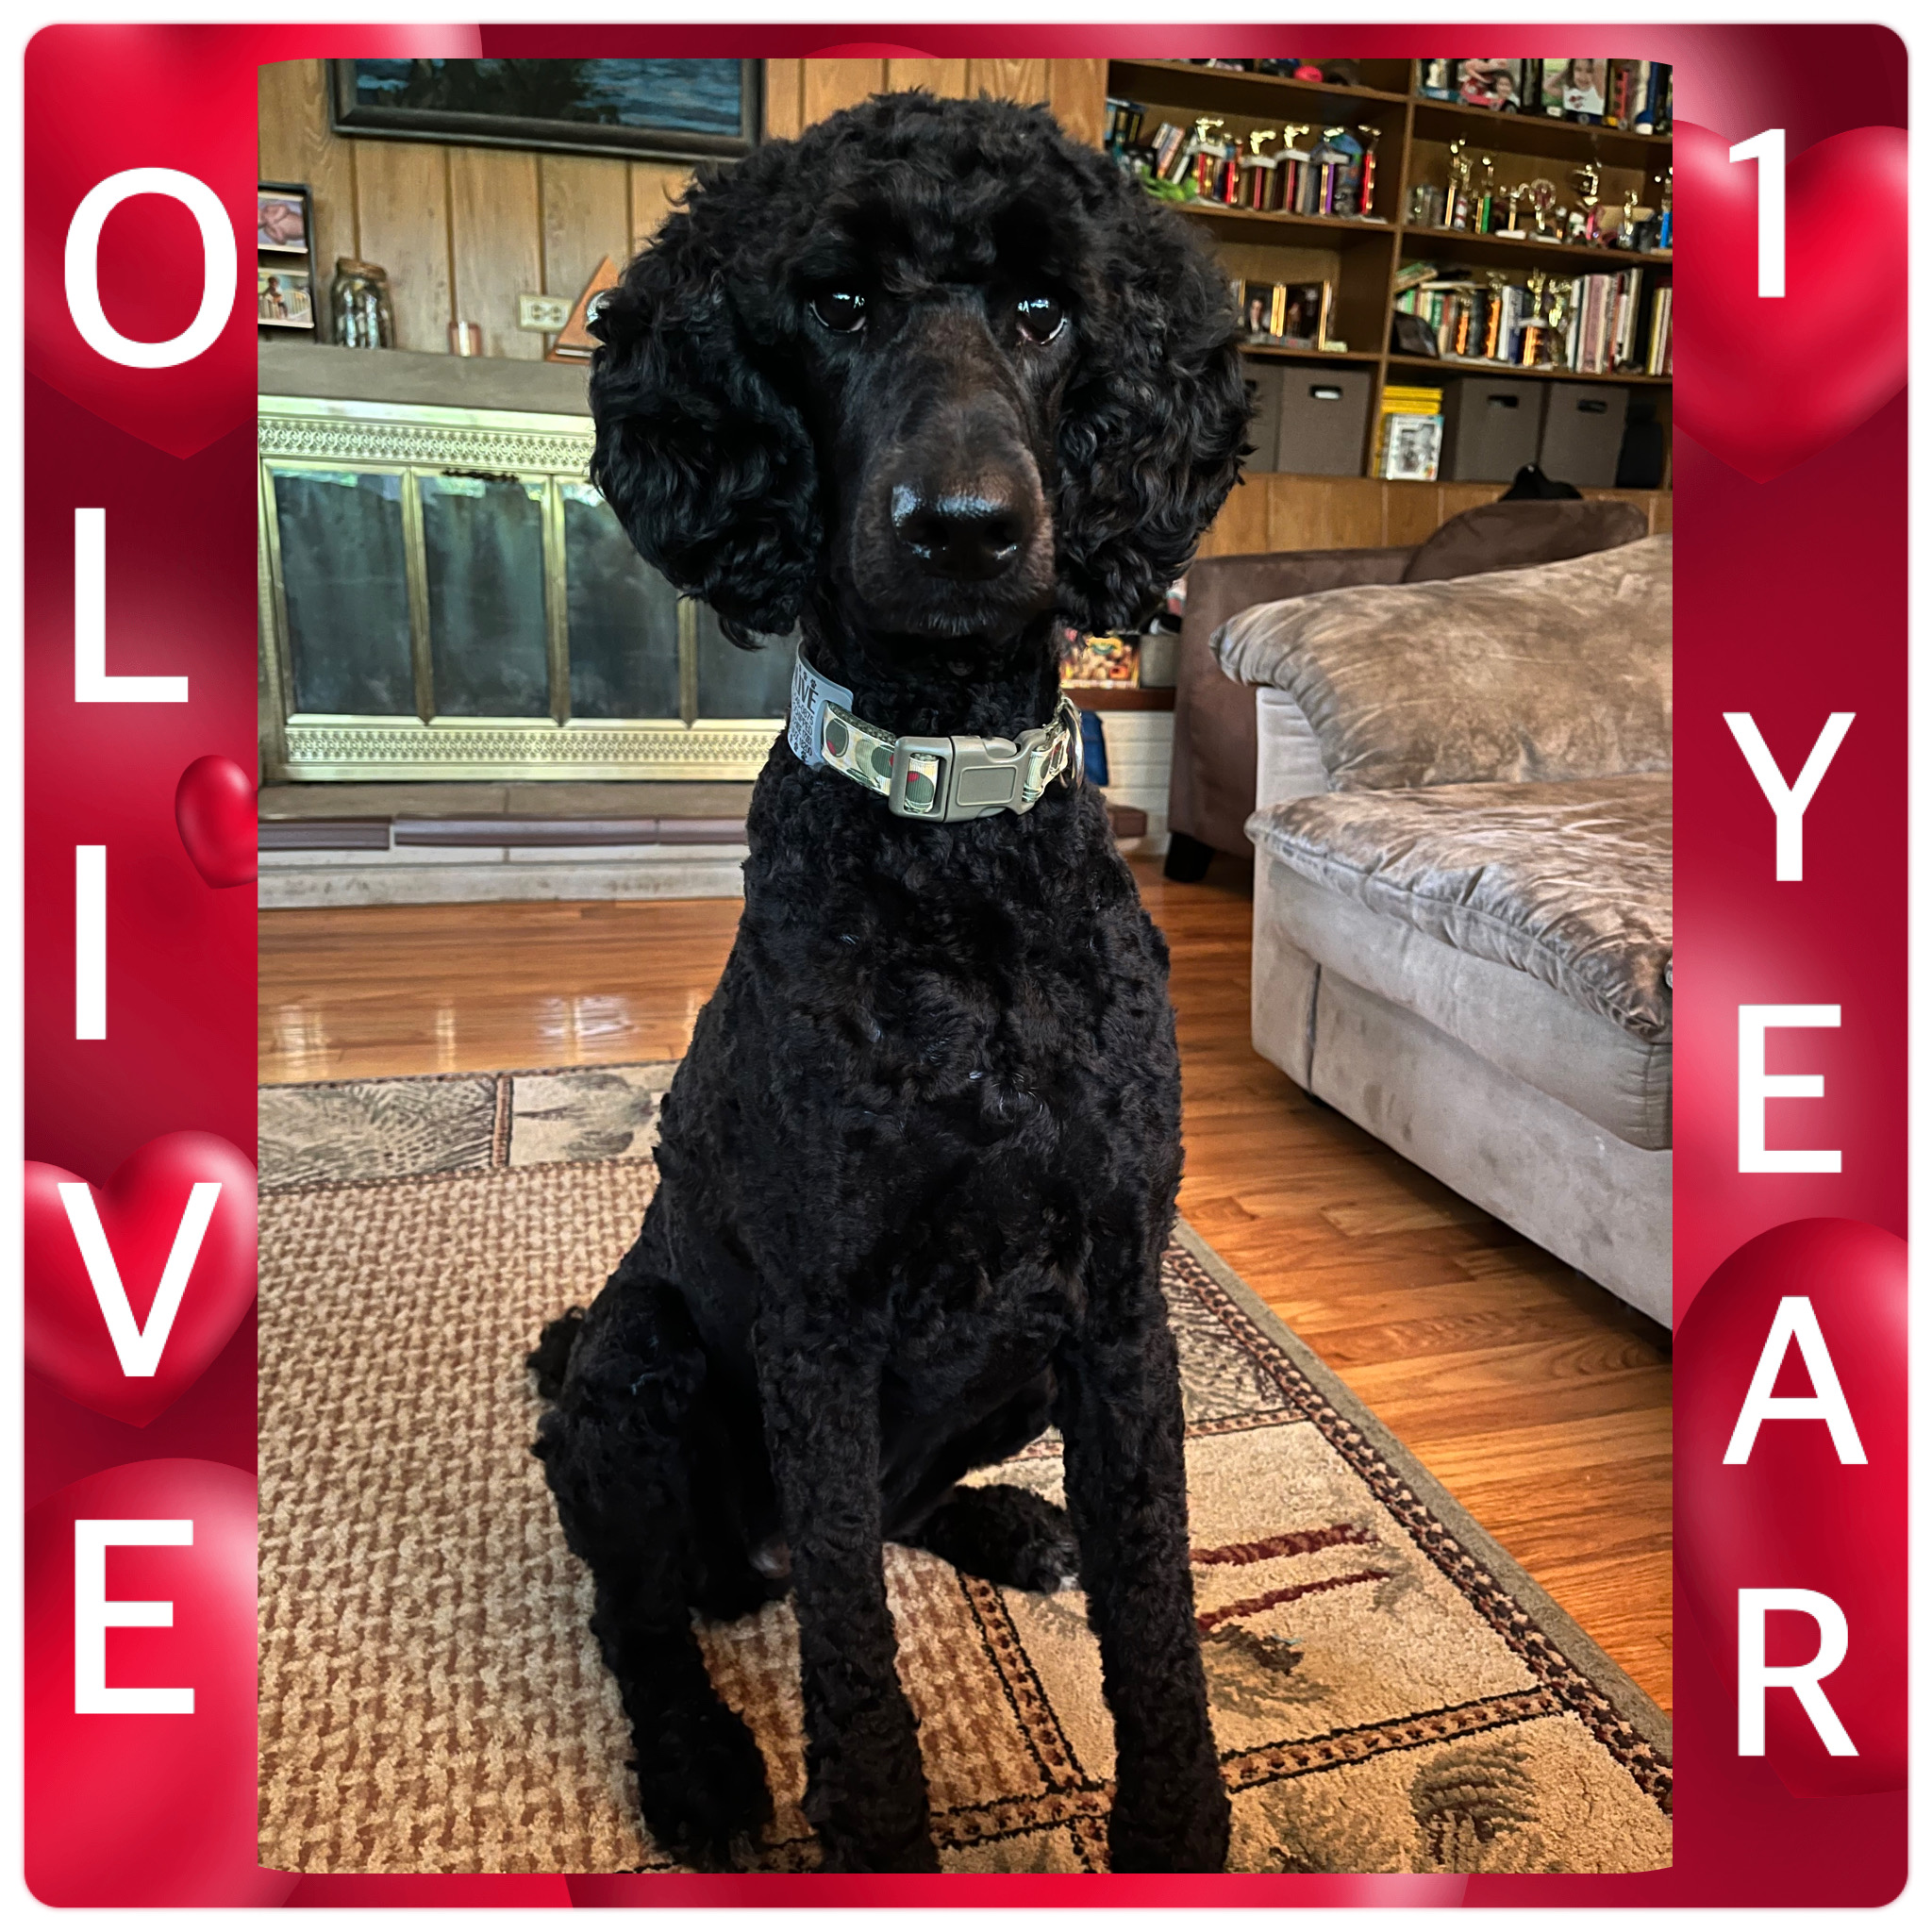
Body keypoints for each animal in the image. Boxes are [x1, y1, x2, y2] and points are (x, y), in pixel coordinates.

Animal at [530, 90, 1249, 1875]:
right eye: (837, 304)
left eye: (1044, 308)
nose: (967, 529)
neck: (951, 849)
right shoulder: (822, 1322)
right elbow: (854, 1659)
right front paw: (866, 1832)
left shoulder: (1116, 1301)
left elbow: (1155, 1598)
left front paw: (1175, 1826)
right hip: (634, 1372)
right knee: (644, 1614)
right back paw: (700, 1768)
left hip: (1012, 1363)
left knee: (905, 1520)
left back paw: (1007, 1522)